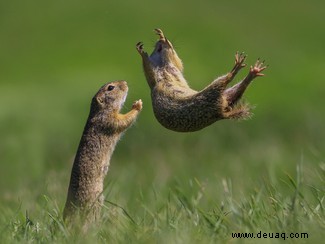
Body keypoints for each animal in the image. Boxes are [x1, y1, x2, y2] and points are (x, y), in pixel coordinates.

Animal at [63, 81, 142, 228]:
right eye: (110, 87)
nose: (125, 82)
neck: (97, 110)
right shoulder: (109, 120)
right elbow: (124, 120)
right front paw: (137, 105)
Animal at [135, 28, 268, 132]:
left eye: (170, 44)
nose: (163, 40)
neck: (164, 66)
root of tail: (220, 113)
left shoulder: (173, 66)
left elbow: (175, 62)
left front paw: (158, 37)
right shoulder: (156, 75)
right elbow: (149, 70)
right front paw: (142, 51)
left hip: (215, 90)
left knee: (232, 84)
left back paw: (246, 70)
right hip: (214, 90)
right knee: (230, 83)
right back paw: (243, 70)